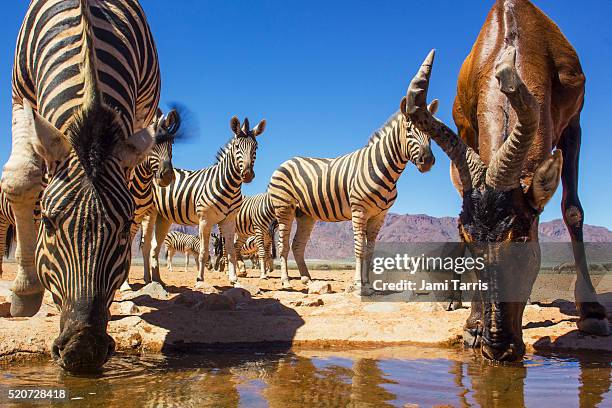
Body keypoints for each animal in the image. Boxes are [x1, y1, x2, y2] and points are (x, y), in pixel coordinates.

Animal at [0, 0, 163, 372]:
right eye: (48, 223)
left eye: (122, 231)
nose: (82, 350)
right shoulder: (19, 95)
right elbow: (20, 178)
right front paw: (25, 291)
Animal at [147, 116, 266, 286]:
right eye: (237, 146)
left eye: (256, 147)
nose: (248, 175)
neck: (229, 185)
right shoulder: (204, 220)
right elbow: (203, 252)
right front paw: (200, 279)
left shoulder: (229, 221)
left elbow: (231, 251)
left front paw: (234, 279)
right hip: (146, 211)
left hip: (163, 218)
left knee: (154, 247)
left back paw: (156, 280)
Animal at [268, 93, 440, 290]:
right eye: (409, 129)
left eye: (431, 132)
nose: (428, 160)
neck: (383, 169)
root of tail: (286, 161)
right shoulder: (359, 211)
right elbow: (359, 248)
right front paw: (358, 283)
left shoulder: (379, 215)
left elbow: (370, 251)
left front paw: (369, 284)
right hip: (284, 209)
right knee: (283, 245)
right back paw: (286, 281)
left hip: (305, 214)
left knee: (297, 245)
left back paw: (307, 279)